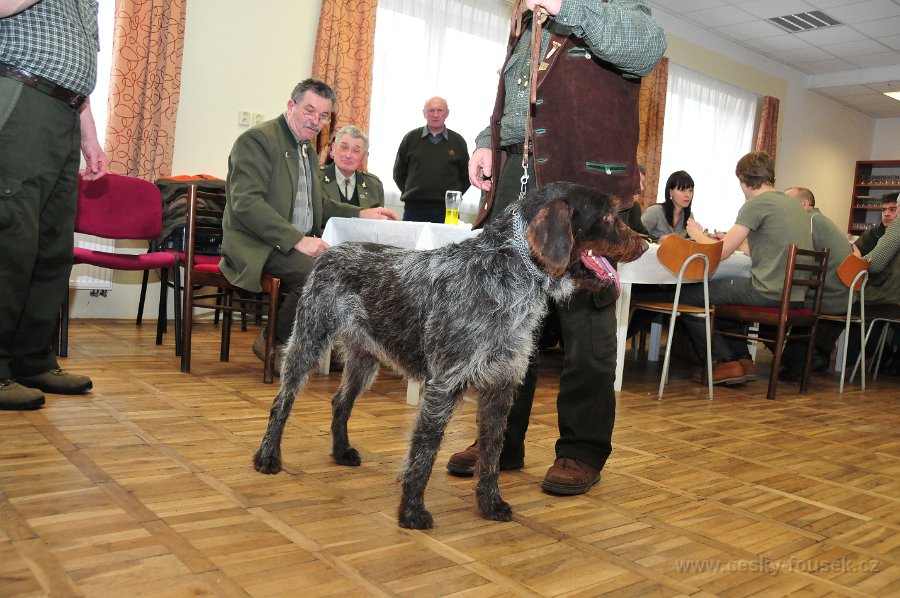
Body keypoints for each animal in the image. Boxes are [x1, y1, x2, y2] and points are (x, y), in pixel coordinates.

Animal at [253, 182, 648, 528]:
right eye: (608, 216)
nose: (645, 245)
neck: (509, 274)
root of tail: (331, 251)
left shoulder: (501, 386)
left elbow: (491, 452)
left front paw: (490, 503)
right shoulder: (443, 385)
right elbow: (425, 452)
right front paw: (412, 511)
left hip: (365, 359)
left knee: (340, 401)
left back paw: (341, 451)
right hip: (308, 342)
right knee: (282, 402)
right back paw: (268, 456)